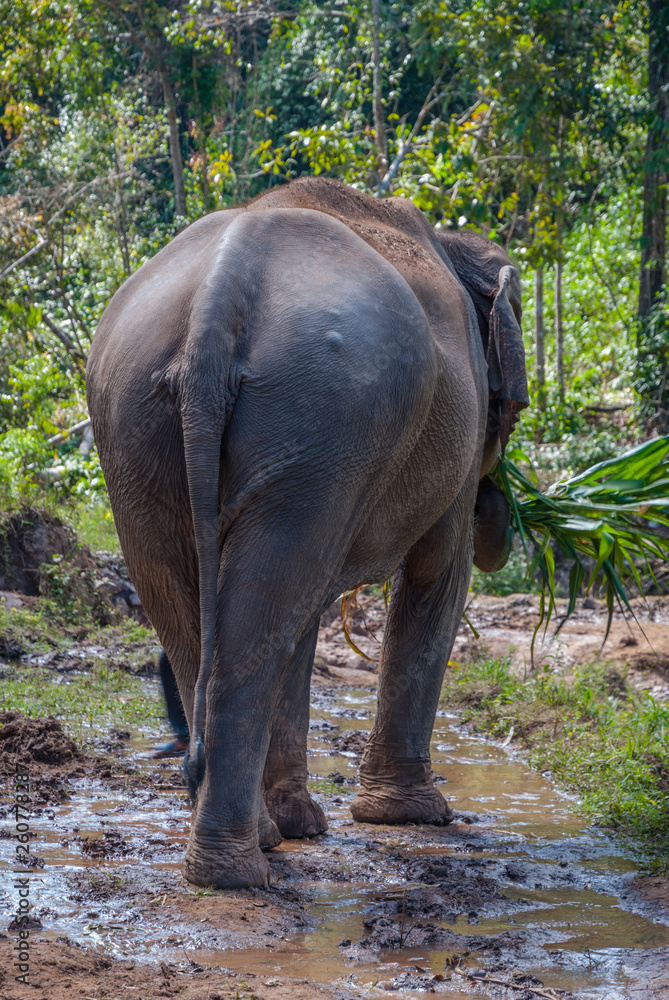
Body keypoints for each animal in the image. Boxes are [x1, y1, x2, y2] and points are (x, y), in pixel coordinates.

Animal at [86, 176, 527, 890]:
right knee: (269, 609)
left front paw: (304, 828)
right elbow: (439, 572)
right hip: (320, 413)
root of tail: (219, 296)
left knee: (221, 613)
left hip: (145, 426)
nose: (509, 514)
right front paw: (416, 818)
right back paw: (237, 870)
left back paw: (249, 842)